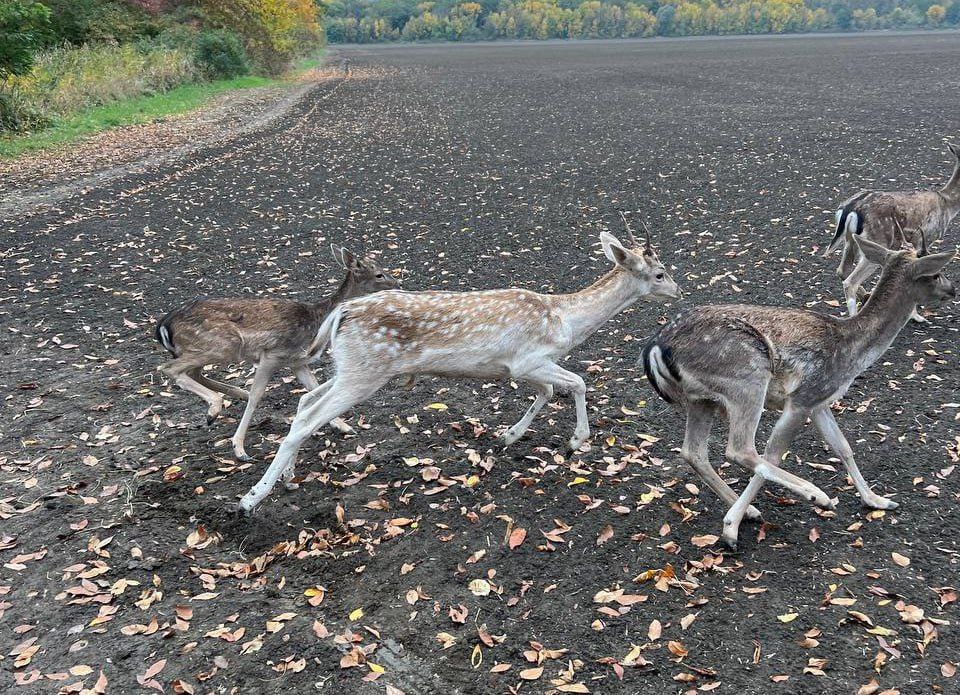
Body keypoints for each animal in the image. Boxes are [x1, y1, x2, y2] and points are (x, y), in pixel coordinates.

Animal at [236, 218, 680, 516]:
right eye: (660, 273)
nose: (678, 289)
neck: (565, 323)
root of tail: (341, 312)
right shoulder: (527, 359)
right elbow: (578, 383)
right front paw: (575, 441)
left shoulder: (529, 367)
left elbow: (549, 391)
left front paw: (509, 436)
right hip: (365, 369)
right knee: (305, 419)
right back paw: (251, 499)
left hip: (351, 367)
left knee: (305, 402)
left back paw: (288, 477)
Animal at [820, 142, 960, 320]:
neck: (947, 205)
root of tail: (849, 209)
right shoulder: (923, 237)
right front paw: (916, 316)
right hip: (876, 240)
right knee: (851, 281)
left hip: (850, 241)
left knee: (841, 270)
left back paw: (866, 296)